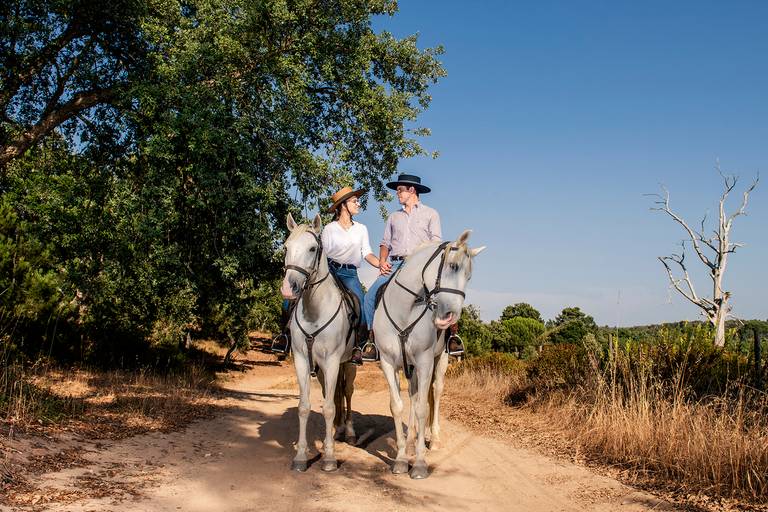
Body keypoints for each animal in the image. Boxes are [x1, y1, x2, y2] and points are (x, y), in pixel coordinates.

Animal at [280, 213, 358, 472]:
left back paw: (349, 431)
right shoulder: (302, 360)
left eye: (312, 248)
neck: (314, 309)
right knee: (332, 393)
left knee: (347, 391)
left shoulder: (333, 361)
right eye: (286, 247)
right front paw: (301, 457)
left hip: (348, 363)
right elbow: (305, 407)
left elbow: (329, 407)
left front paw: (330, 458)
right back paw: (335, 432)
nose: (289, 288)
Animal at [373, 230, 485, 479]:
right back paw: (412, 441)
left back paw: (432, 440)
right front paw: (401, 459)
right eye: (452, 266)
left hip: (439, 361)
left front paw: (420, 464)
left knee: (435, 391)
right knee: (414, 396)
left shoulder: (425, 362)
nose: (449, 318)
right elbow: (398, 406)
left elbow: (423, 407)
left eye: (470, 276)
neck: (404, 310)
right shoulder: (387, 362)